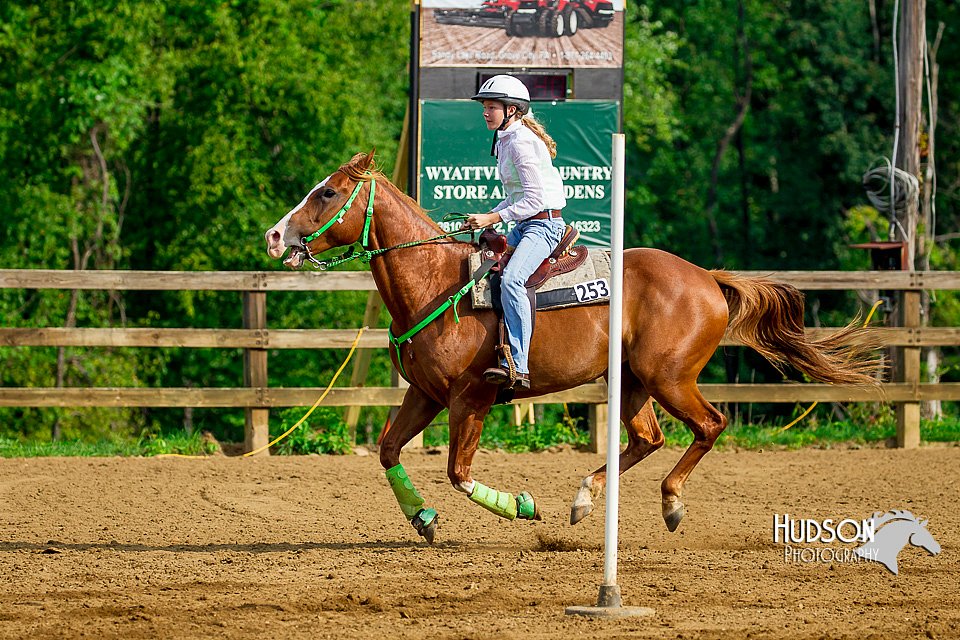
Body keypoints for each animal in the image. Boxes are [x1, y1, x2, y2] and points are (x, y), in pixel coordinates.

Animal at [260, 152, 876, 544]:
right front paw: (424, 520)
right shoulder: (427, 394)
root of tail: (706, 277)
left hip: (670, 377)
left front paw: (523, 506)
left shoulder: (471, 398)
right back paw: (585, 498)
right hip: (631, 382)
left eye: (327, 192)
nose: (274, 235)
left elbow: (459, 471)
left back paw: (670, 503)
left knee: (709, 425)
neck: (436, 281)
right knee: (647, 438)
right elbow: (389, 450)